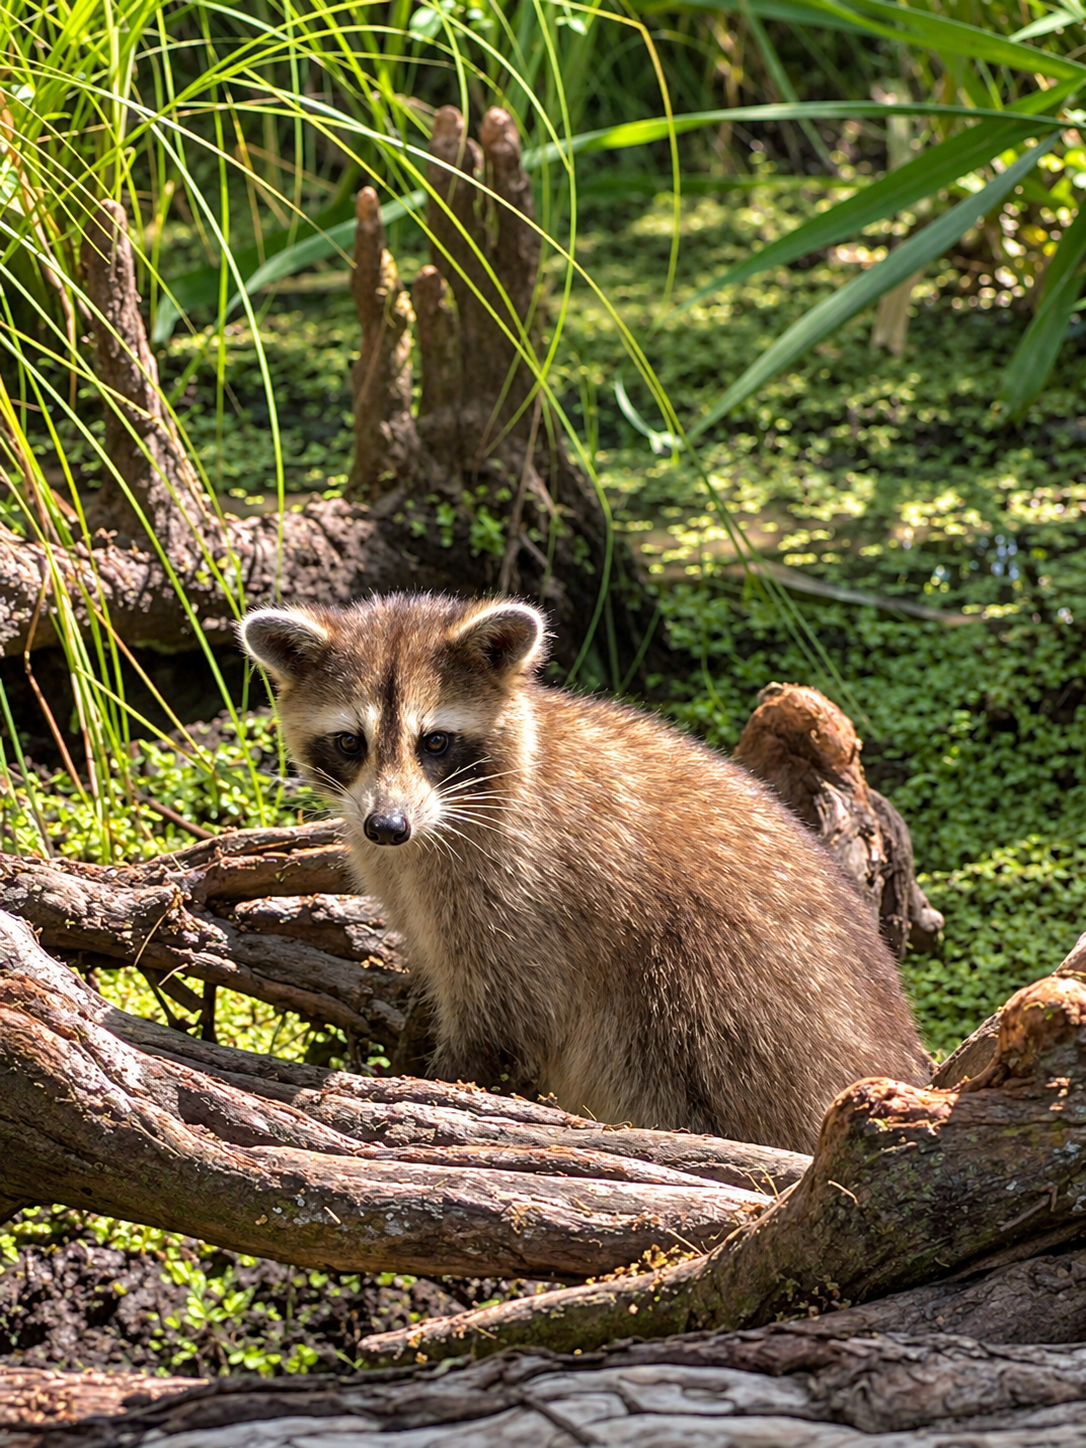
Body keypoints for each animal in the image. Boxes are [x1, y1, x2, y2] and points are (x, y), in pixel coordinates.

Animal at [241, 592, 930, 1152]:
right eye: (349, 742)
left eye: (434, 742)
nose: (386, 826)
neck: (442, 821)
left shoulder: (522, 886)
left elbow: (500, 1011)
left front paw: (438, 1079)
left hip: (709, 1006)